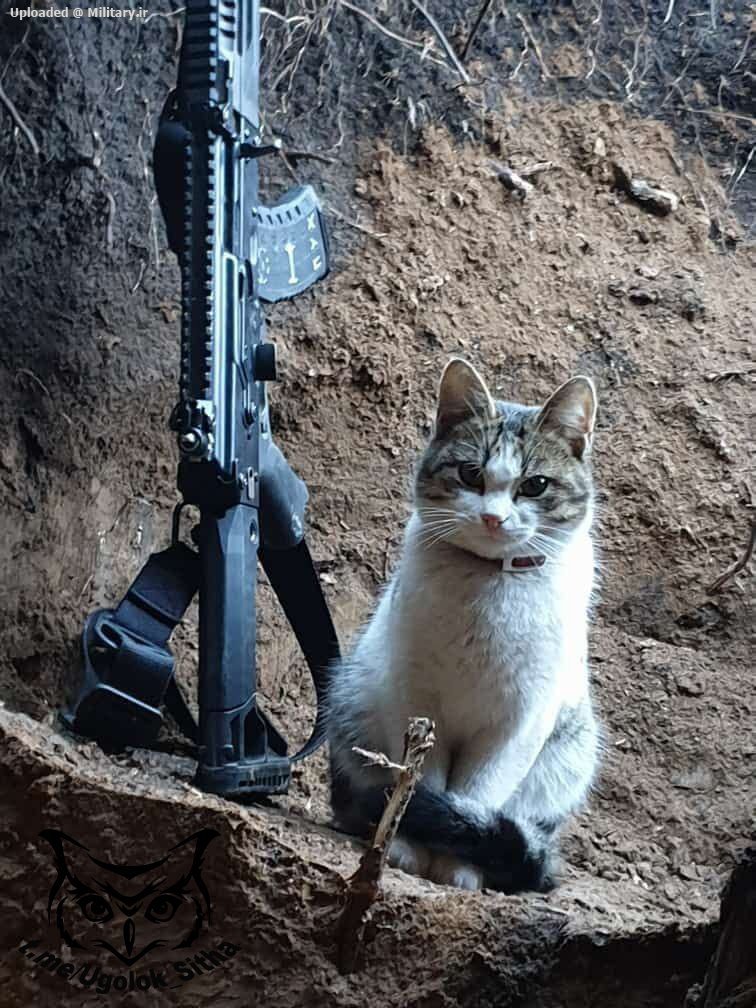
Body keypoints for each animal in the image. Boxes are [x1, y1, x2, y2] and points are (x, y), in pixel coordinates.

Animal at [326, 358, 604, 895]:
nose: (494, 518)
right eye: (471, 473)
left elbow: (477, 797)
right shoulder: (414, 701)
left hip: (569, 749)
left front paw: (459, 865)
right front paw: (407, 850)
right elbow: (419, 787)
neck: (488, 588)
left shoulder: (519, 722)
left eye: (535, 485)